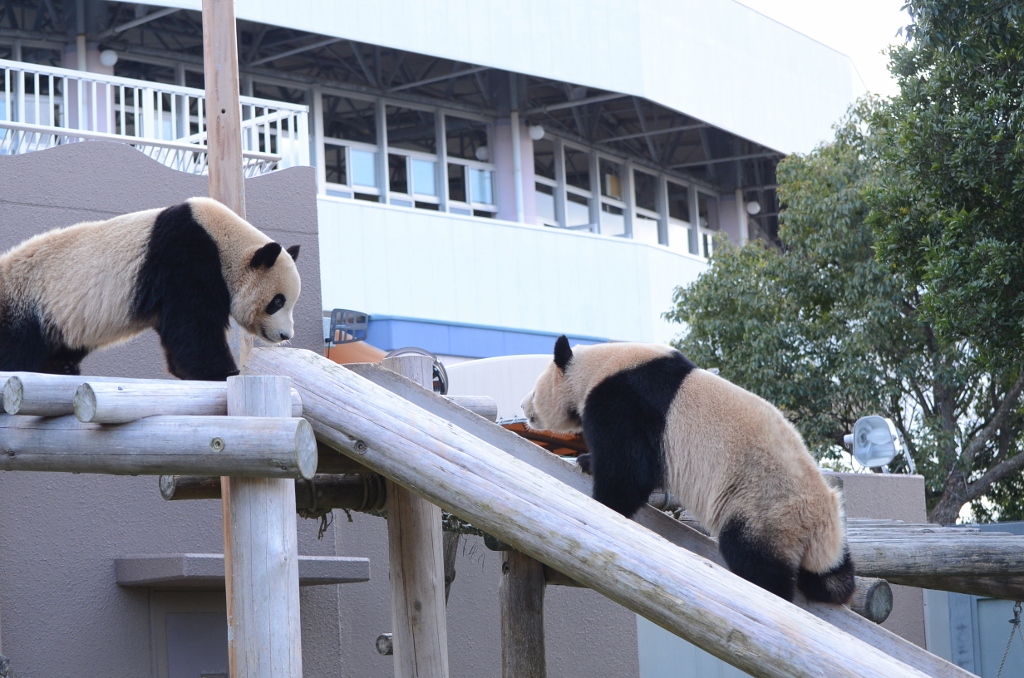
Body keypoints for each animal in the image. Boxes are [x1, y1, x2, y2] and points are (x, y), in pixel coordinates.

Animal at [0, 197, 299, 383]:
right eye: (277, 302)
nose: (285, 335)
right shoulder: (186, 259)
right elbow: (193, 326)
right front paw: (222, 372)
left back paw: (63, 367)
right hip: (24, 302)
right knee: (16, 350)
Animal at [520, 335, 856, 606]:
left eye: (535, 390)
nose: (524, 408)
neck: (598, 366)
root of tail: (819, 521)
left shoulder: (624, 400)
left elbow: (629, 470)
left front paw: (602, 496)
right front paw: (588, 462)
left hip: (763, 506)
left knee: (754, 558)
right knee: (831, 575)